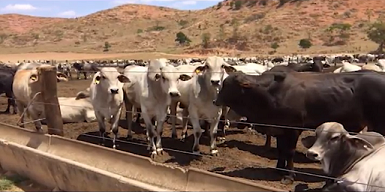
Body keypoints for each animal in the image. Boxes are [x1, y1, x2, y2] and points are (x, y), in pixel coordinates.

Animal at [213, 67, 385, 184]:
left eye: (229, 86)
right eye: (223, 84)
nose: (215, 101)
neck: (269, 93)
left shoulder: (293, 129)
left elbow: (289, 152)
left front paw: (289, 175)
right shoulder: (281, 129)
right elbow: (281, 150)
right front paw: (279, 169)